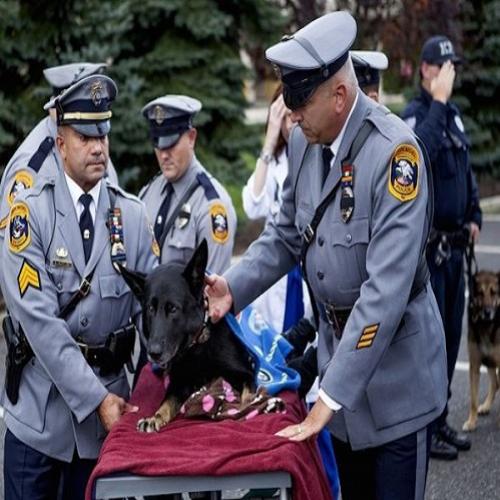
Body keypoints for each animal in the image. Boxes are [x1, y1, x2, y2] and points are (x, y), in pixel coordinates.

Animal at [120, 240, 254, 432]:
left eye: (173, 309)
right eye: (150, 309)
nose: (153, 353)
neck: (197, 345)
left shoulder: (245, 373)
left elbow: (248, 395)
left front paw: (247, 408)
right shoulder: (179, 382)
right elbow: (167, 402)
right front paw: (155, 417)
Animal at [460, 272, 500, 432]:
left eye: (494, 292)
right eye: (480, 293)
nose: (487, 313)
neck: (486, 325)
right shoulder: (475, 365)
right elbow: (473, 400)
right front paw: (472, 422)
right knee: (495, 383)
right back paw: (486, 406)